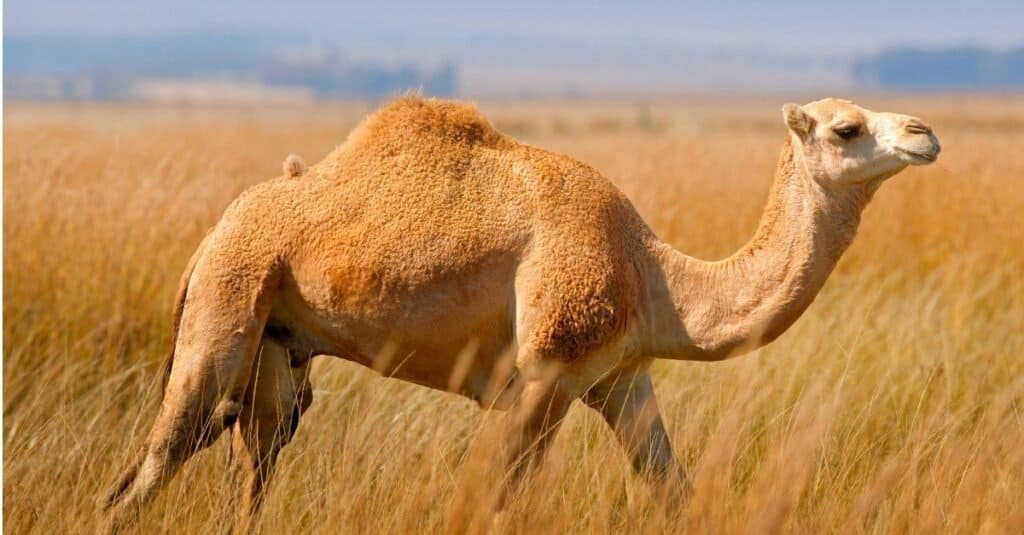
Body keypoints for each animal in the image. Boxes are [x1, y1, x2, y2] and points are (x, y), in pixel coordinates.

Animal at [101, 96, 940, 532]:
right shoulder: (540, 375)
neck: (655, 277)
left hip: (277, 355)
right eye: (846, 128)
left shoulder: (620, 376)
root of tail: (210, 237)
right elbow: (491, 503)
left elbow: (673, 486)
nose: (925, 131)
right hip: (224, 309)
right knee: (150, 466)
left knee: (252, 467)